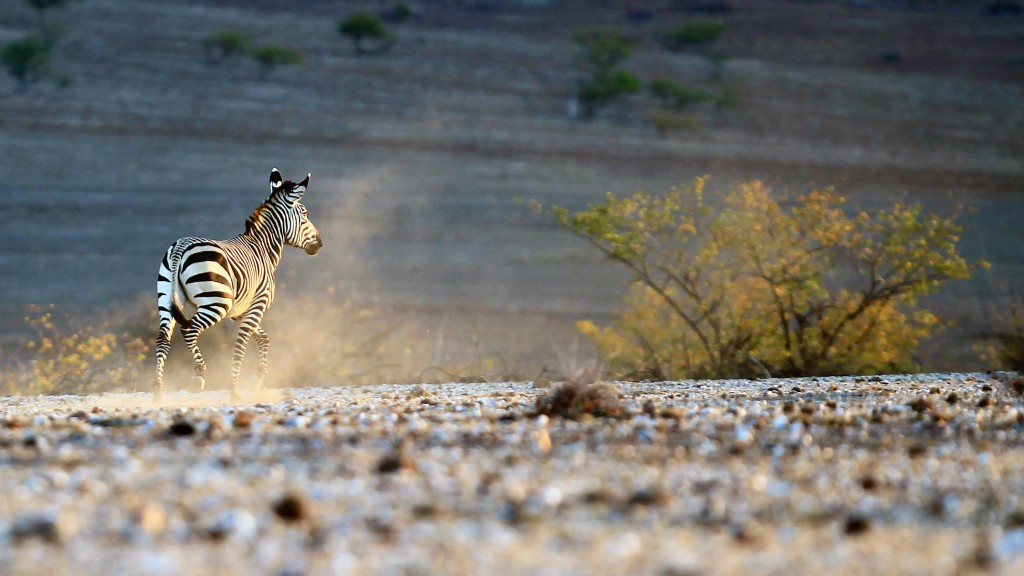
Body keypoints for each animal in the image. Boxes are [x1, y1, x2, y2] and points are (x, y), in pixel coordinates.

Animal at [151, 166, 323, 399]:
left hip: (166, 299)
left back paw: (158, 393)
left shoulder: (239, 311)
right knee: (189, 330)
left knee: (162, 338)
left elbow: (263, 339)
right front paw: (234, 390)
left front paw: (258, 379)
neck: (262, 247)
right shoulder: (257, 305)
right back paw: (199, 375)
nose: (320, 243)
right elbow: (241, 345)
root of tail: (180, 247)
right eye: (304, 215)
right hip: (216, 303)